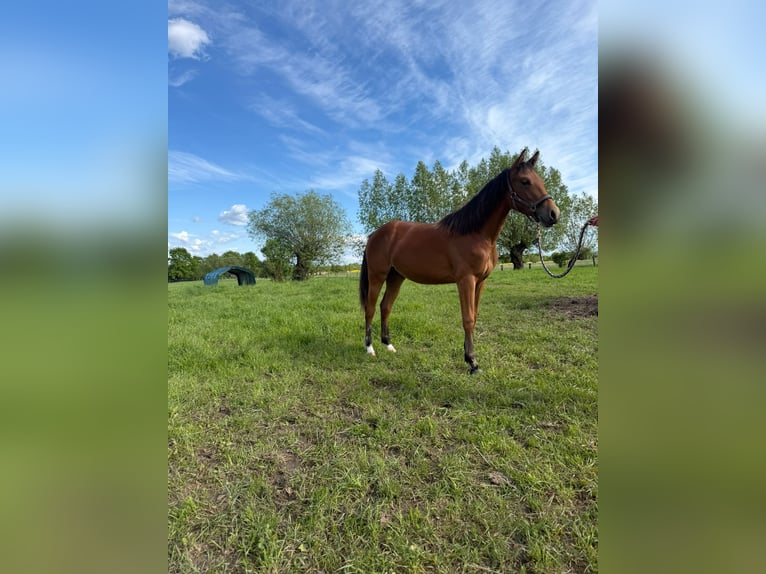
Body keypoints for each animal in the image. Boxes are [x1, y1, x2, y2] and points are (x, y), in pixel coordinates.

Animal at [359, 148, 560, 374]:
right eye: (525, 181)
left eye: (540, 180)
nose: (553, 214)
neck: (476, 233)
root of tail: (375, 234)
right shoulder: (466, 280)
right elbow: (468, 318)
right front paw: (472, 362)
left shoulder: (481, 281)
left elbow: (475, 315)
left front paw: (469, 355)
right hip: (377, 275)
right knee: (370, 308)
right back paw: (370, 348)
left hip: (396, 276)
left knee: (386, 306)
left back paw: (389, 345)